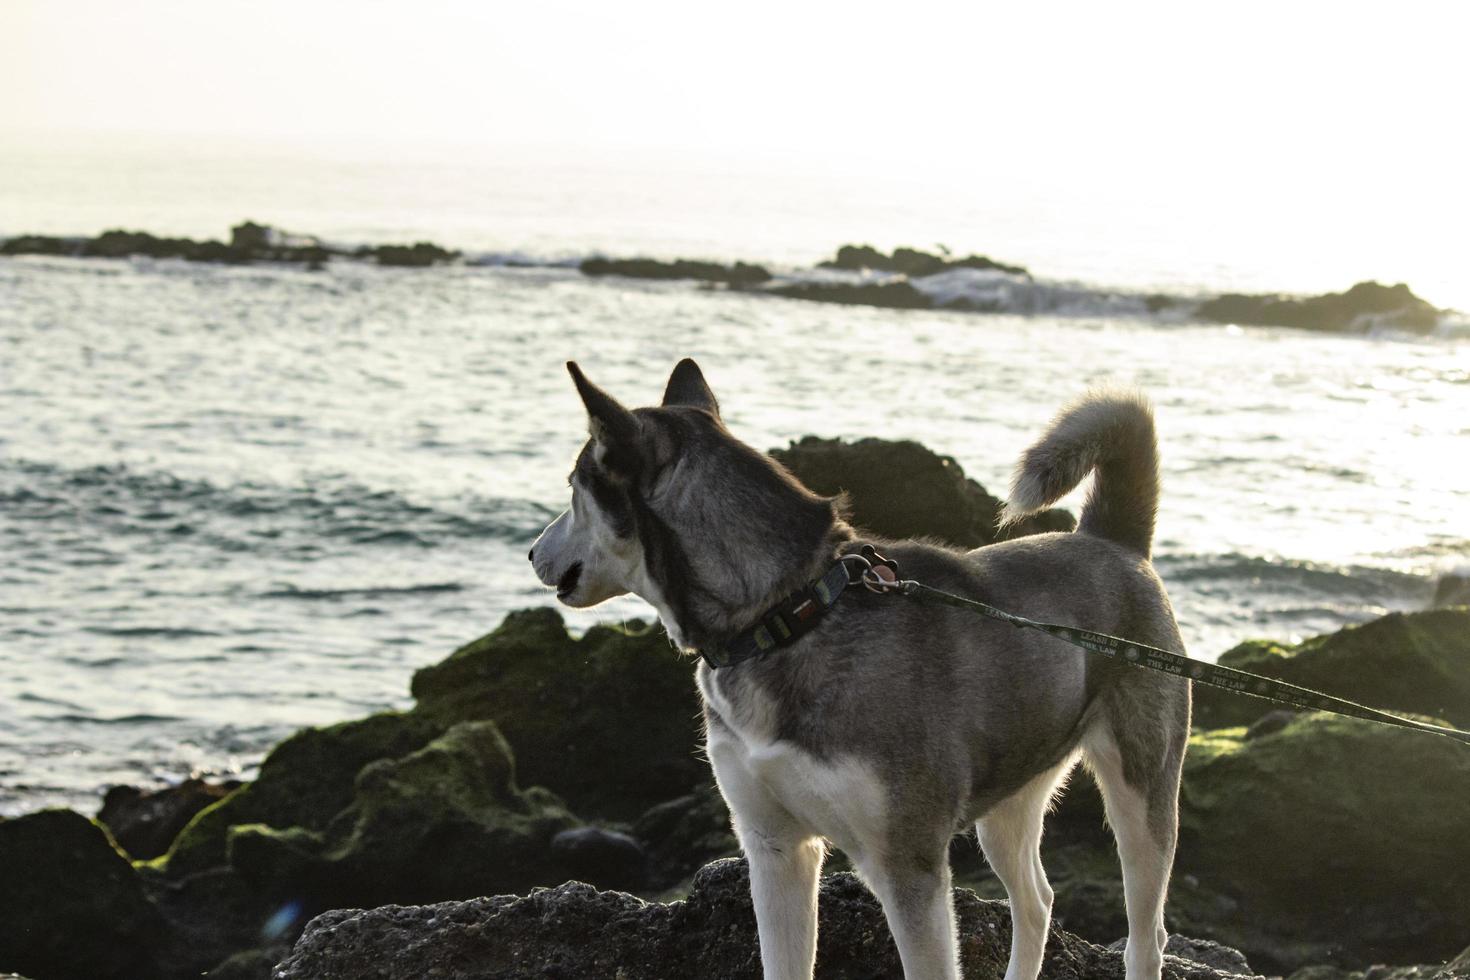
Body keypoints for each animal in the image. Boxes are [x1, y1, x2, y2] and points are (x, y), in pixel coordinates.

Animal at [532, 359, 1193, 980]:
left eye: (571, 488)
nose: (533, 552)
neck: (787, 613)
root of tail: (1112, 541)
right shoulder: (774, 850)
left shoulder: (906, 865)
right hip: (1010, 796)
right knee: (1037, 902)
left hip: (1141, 797)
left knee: (1145, 935)